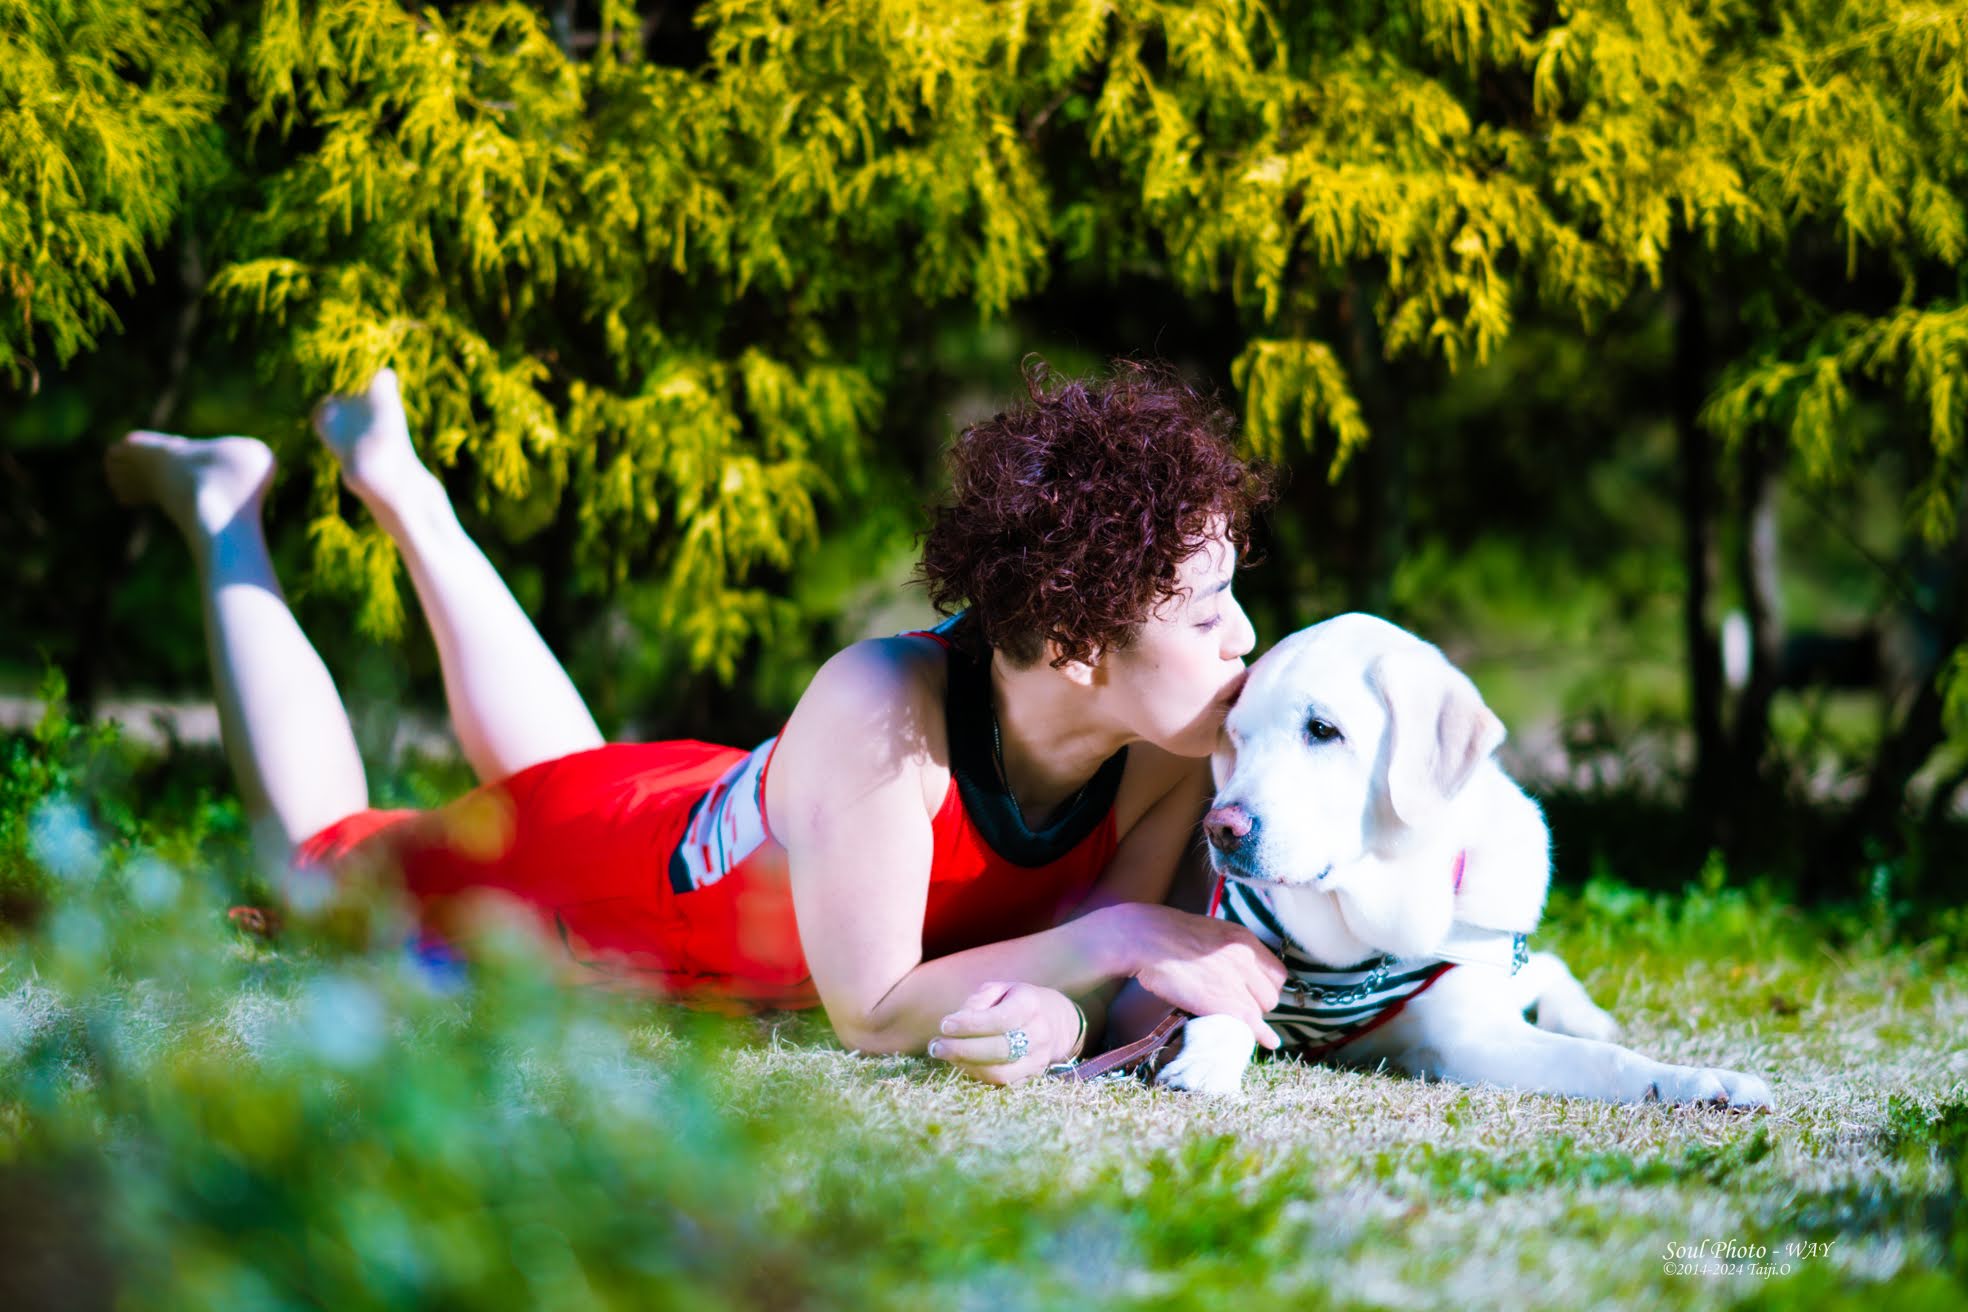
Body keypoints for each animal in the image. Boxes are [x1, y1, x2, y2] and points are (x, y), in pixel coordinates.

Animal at [1149, 617, 1786, 1109]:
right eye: (1239, 738)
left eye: (1322, 730)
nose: (1221, 828)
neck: (1367, 934)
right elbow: (1222, 1007)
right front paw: (1204, 1065)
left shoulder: (1469, 1034)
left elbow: (1608, 1061)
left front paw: (1701, 1081)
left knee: (1546, 968)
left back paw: (1586, 1015)